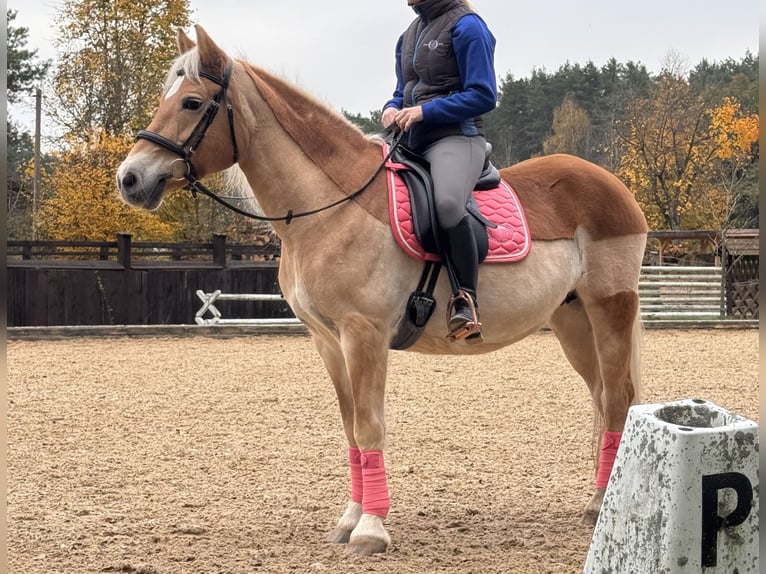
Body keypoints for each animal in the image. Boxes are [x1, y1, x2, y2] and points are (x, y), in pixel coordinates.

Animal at [117, 25, 652, 560]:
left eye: (191, 102)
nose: (130, 179)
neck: (330, 207)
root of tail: (615, 187)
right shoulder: (328, 340)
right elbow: (351, 427)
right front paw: (351, 518)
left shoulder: (364, 334)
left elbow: (370, 424)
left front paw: (371, 528)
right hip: (571, 318)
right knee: (602, 397)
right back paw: (599, 497)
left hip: (610, 307)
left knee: (619, 398)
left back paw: (602, 506)